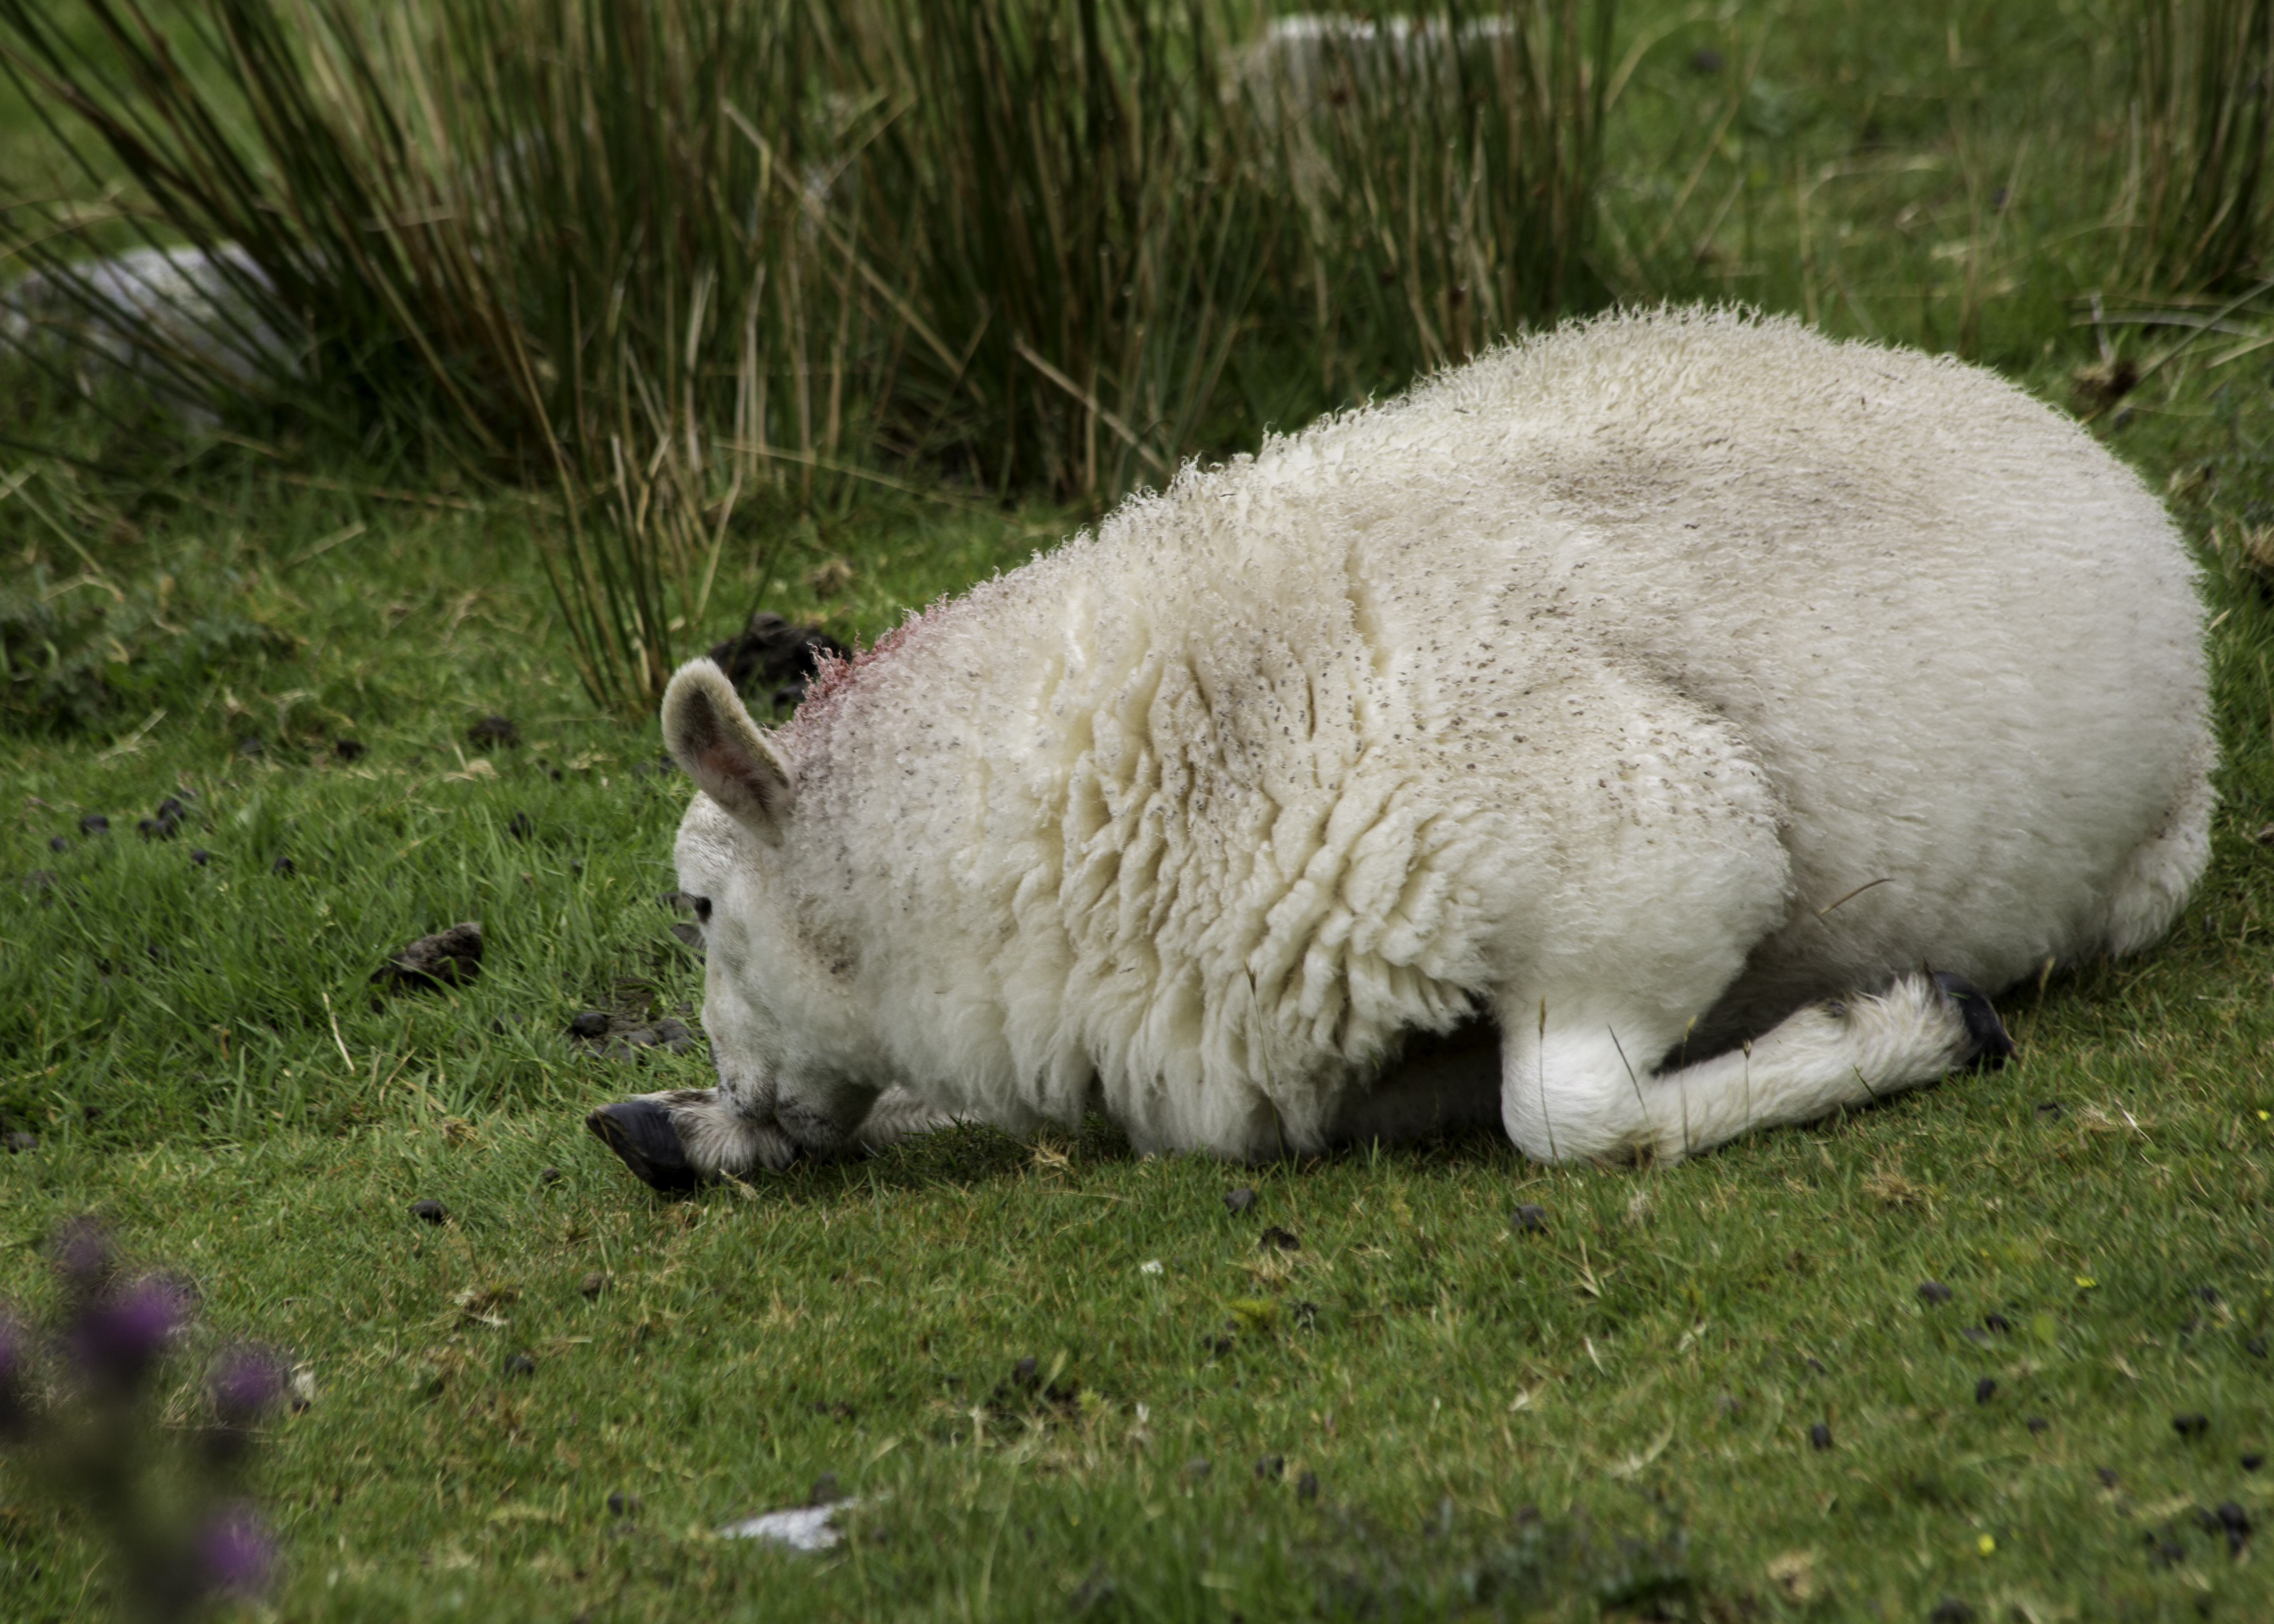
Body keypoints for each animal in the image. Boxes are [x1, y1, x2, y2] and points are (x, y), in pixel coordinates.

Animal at [587, 306, 2213, 1190]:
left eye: (700, 905)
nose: (744, 1092)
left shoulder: (1656, 849)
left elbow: (1563, 1120)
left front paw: (1915, 1023)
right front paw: (678, 1125)